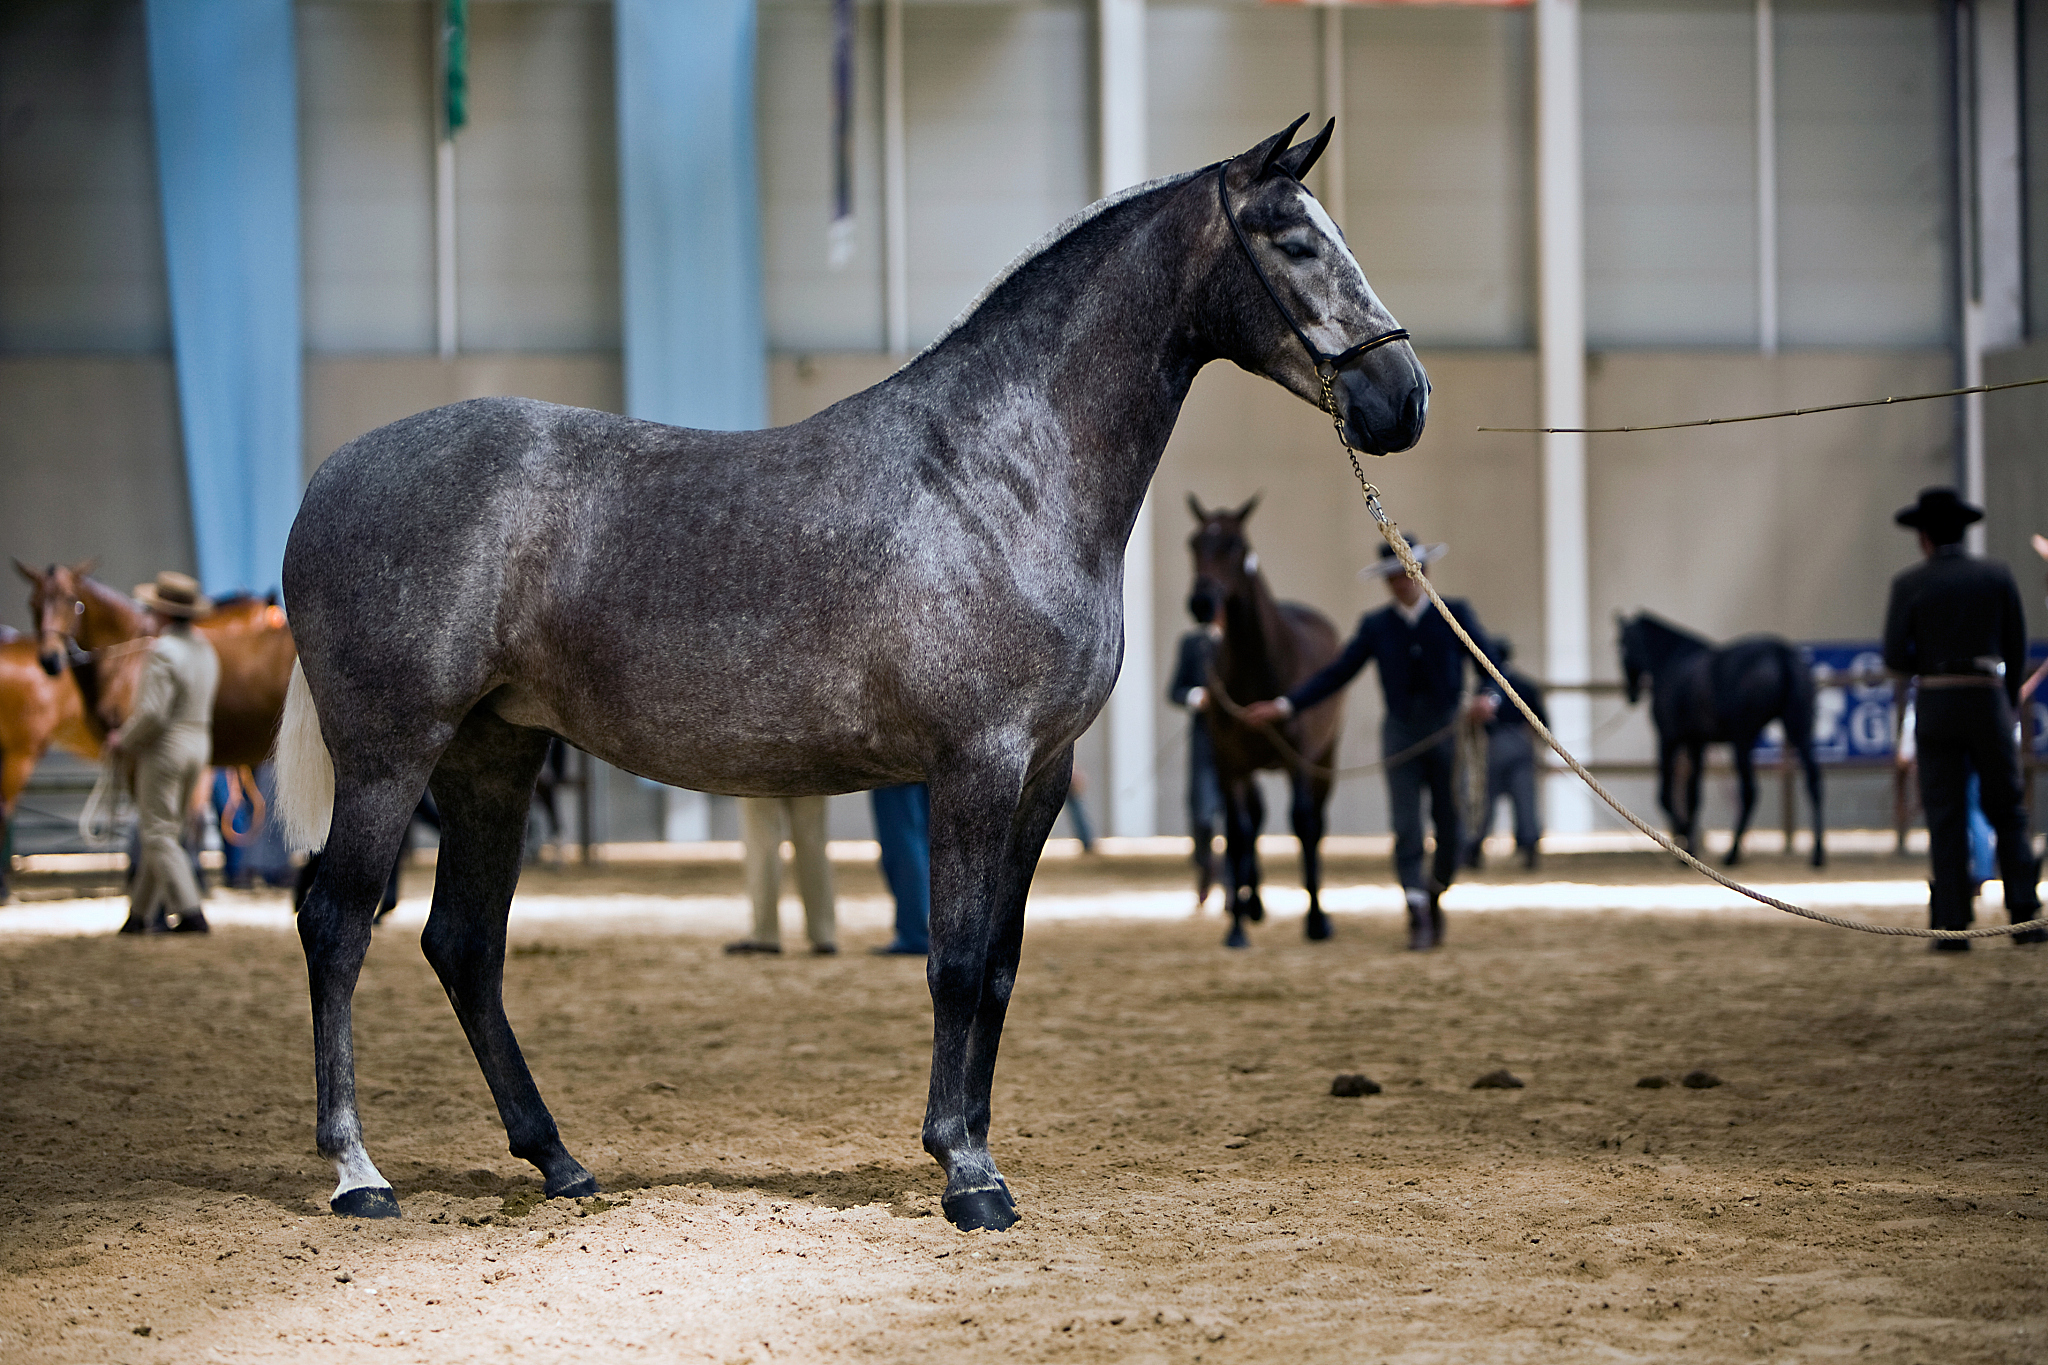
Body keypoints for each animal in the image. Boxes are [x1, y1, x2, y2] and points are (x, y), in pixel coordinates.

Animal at [1185, 494, 1343, 947]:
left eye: (1236, 545)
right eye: (1194, 543)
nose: (1202, 604)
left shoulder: (1297, 760)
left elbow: (1304, 825)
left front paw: (1316, 920)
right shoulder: (1229, 763)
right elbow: (1237, 833)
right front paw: (1237, 928)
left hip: (1326, 756)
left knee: (1318, 822)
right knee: (1253, 822)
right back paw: (1251, 905)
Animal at [1619, 612, 1824, 868]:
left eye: (1620, 644)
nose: (1631, 695)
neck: (1672, 661)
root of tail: (1780, 651)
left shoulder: (1669, 740)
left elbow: (1665, 795)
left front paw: (1685, 843)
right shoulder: (1696, 743)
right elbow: (1693, 796)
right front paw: (1689, 846)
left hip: (1743, 739)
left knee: (1749, 792)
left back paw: (1732, 853)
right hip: (1799, 730)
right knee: (1813, 782)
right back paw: (1817, 854)